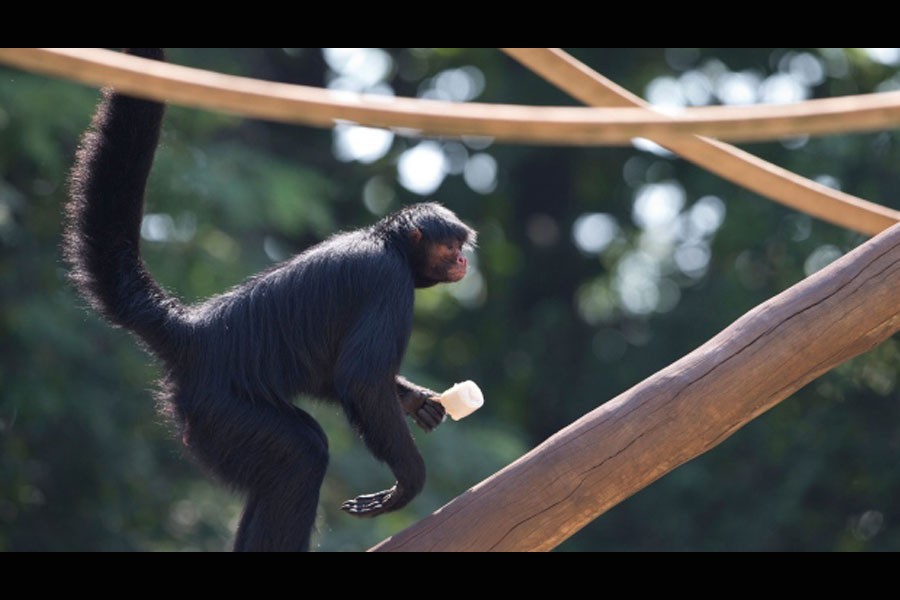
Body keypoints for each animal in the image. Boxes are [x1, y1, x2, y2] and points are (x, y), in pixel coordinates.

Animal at [65, 49, 478, 552]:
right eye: (450, 246)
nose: (462, 258)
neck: (385, 242)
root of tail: (195, 333)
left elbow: (333, 377)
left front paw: (418, 401)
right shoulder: (387, 281)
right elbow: (358, 379)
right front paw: (409, 481)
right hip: (219, 408)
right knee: (302, 455)